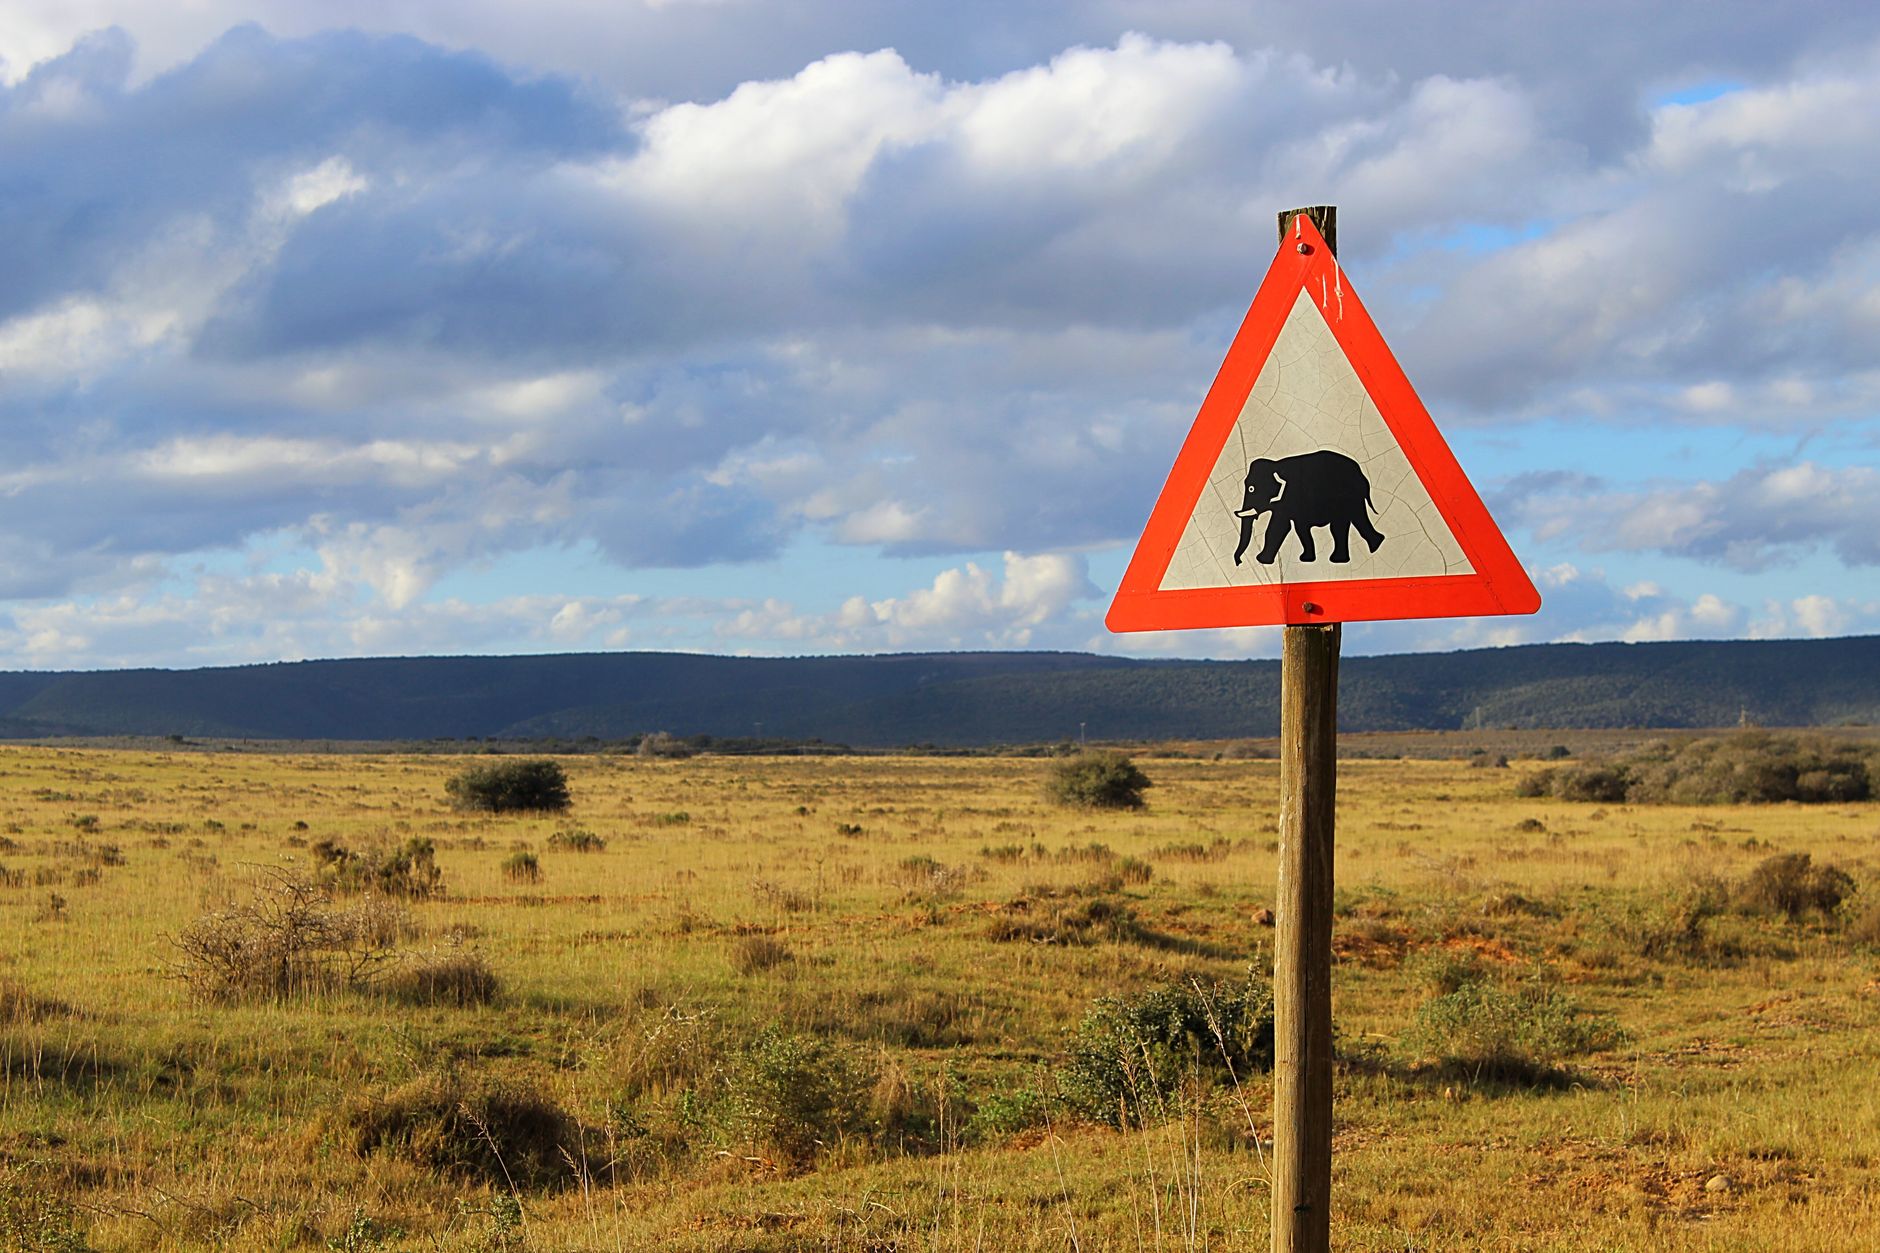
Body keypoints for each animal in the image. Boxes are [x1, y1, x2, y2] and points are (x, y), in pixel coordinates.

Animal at [1231, 449, 1386, 566]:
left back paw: (1342, 559)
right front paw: (1306, 559)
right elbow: (1298, 527)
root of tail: (1363, 476)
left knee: (1342, 524)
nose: (1239, 562)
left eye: (1251, 489)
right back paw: (1374, 546)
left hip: (1348, 498)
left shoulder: (1289, 497)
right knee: (1355, 519)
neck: (1276, 465)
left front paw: (1262, 560)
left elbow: (1277, 527)